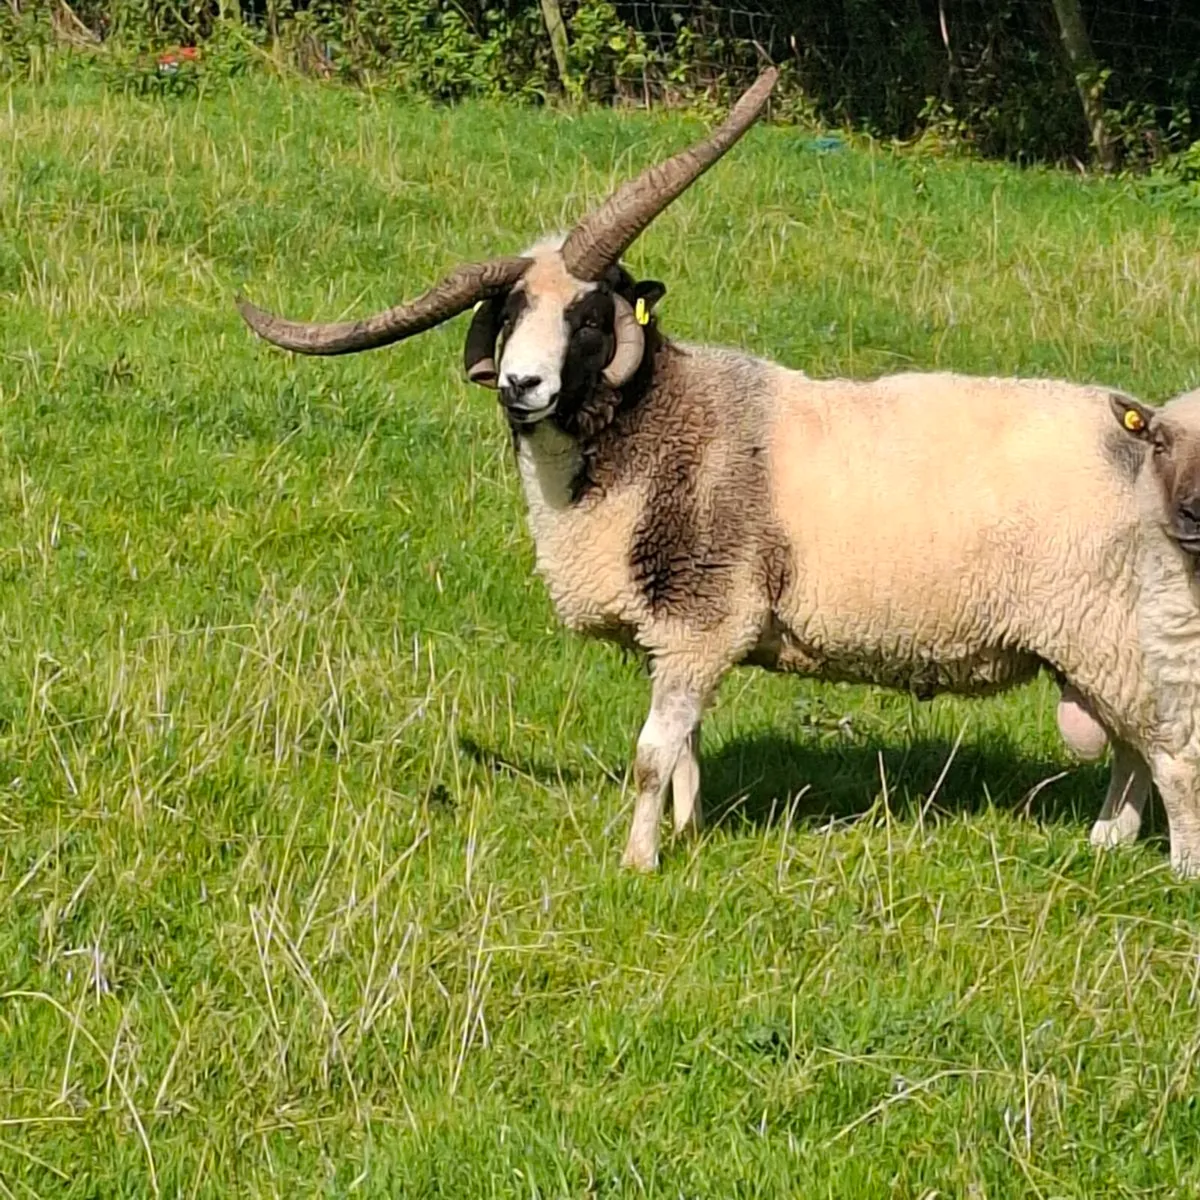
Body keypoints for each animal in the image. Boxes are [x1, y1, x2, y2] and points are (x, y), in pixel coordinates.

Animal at [237, 69, 1200, 875]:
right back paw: (1105, 844)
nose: (521, 386)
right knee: (1133, 750)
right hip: (1103, 640)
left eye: (590, 318)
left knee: (1174, 754)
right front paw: (692, 833)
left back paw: (1175, 874)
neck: (661, 426)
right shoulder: (677, 636)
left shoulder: (702, 617)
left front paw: (638, 864)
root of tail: (1143, 433)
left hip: (1115, 627)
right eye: (507, 315)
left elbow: (649, 756)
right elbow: (688, 750)